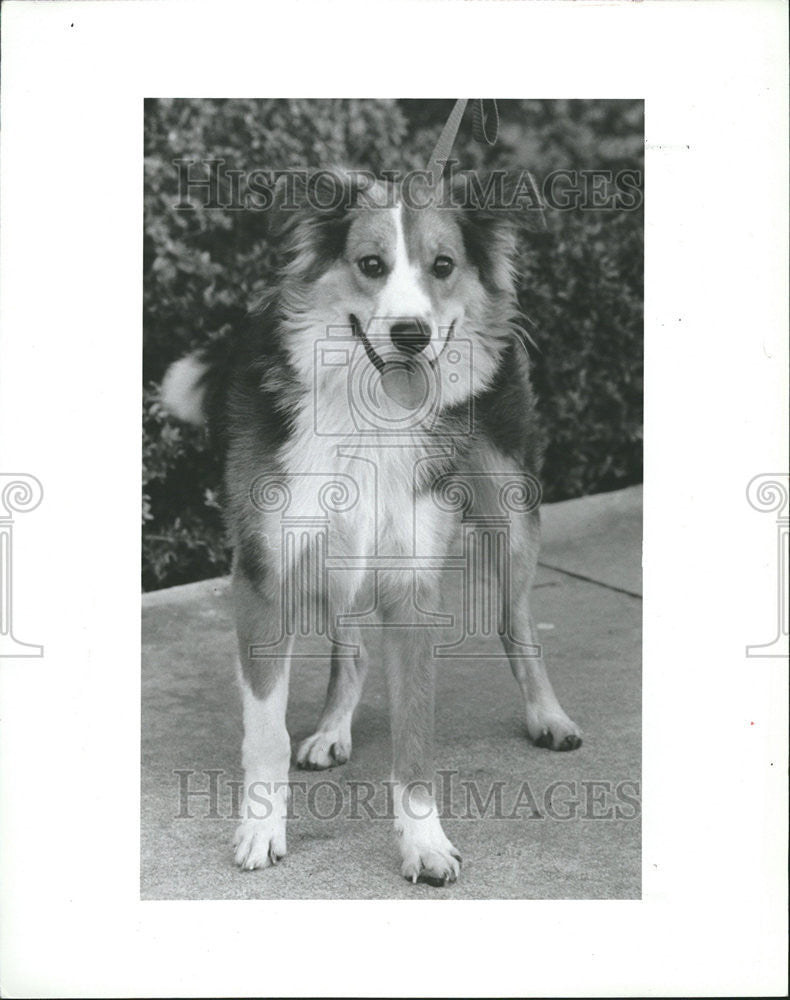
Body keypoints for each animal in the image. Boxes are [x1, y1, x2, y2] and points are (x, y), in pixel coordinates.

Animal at [161, 168, 580, 888]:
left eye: (443, 266)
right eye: (371, 265)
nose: (412, 334)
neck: (372, 413)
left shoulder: (413, 583)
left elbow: (415, 734)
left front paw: (424, 841)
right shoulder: (265, 577)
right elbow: (266, 731)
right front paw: (261, 828)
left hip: (512, 511)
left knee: (516, 621)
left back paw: (547, 715)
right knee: (351, 645)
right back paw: (333, 729)